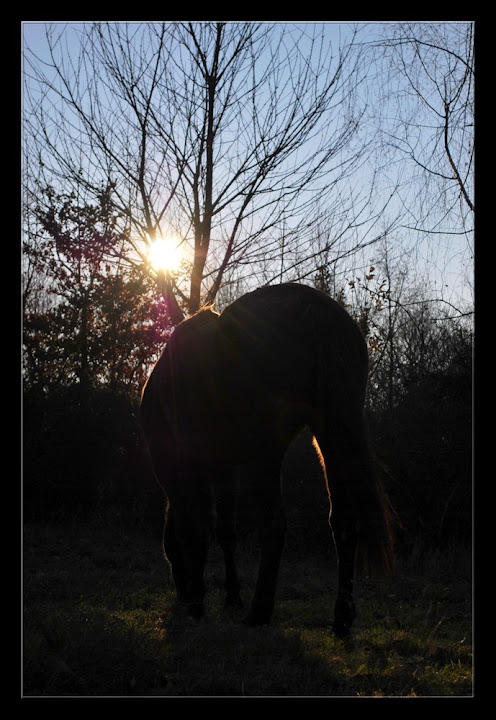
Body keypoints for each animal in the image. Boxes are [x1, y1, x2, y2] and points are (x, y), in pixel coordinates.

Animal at [140, 284, 396, 640]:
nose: (182, 596)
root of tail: (312, 306)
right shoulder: (223, 469)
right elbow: (225, 531)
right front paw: (231, 597)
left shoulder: (184, 467)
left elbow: (196, 528)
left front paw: (199, 605)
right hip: (331, 434)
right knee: (343, 521)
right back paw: (341, 618)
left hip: (268, 451)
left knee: (274, 523)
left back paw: (259, 612)